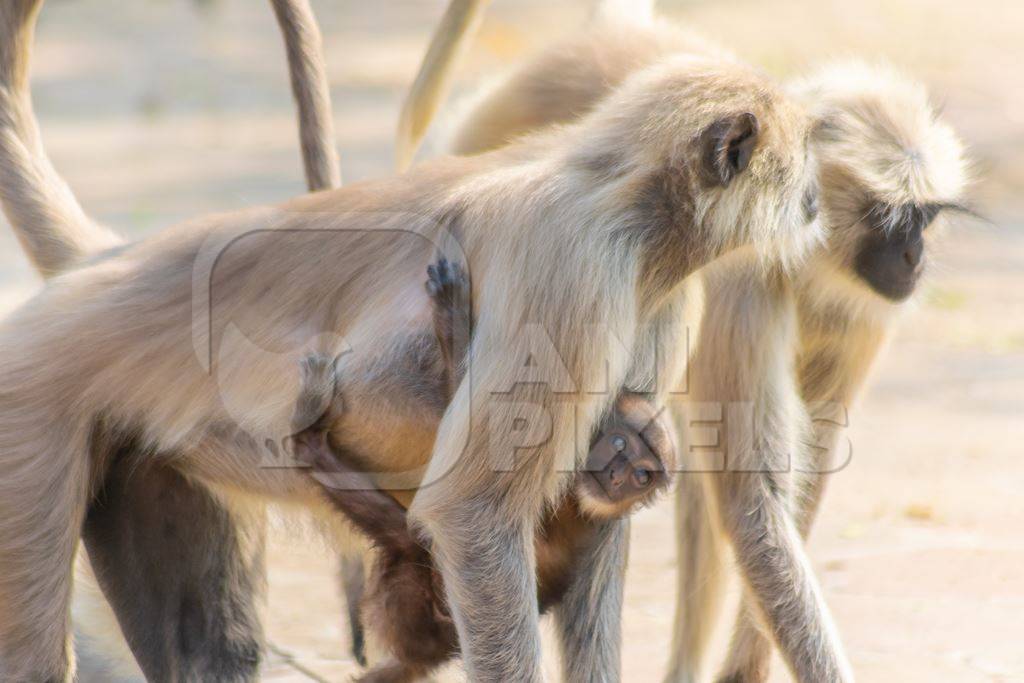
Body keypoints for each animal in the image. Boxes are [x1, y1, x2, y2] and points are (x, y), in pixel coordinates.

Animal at [294, 258, 679, 683]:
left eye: (641, 476)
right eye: (620, 445)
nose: (617, 477)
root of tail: (432, 651)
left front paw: (453, 316)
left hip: (417, 603)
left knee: (407, 539)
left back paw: (308, 437)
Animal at [419, 10, 970, 683]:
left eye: (926, 218)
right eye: (889, 217)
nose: (916, 258)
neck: (810, 267)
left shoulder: (862, 308)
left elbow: (806, 471)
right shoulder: (742, 280)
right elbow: (752, 498)